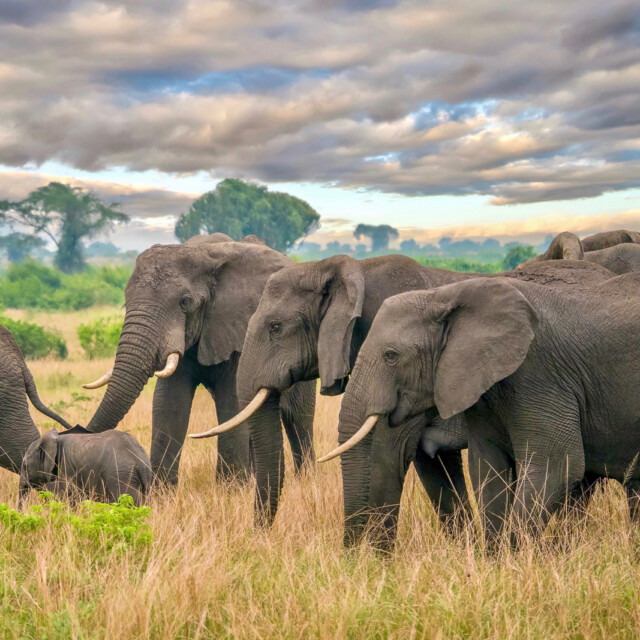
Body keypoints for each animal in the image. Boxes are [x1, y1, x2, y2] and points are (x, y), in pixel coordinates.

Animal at [83, 236, 316, 486]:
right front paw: (162, 491)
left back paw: (305, 480)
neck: (205, 254)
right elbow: (169, 403)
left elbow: (232, 401)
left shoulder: (239, 330)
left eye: (185, 302)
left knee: (297, 416)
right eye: (126, 302)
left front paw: (229, 489)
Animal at [327, 273, 640, 548]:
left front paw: (515, 560)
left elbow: (558, 465)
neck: (444, 295)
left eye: (391, 356)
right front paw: (495, 563)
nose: (354, 561)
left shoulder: (539, 375)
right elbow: (488, 471)